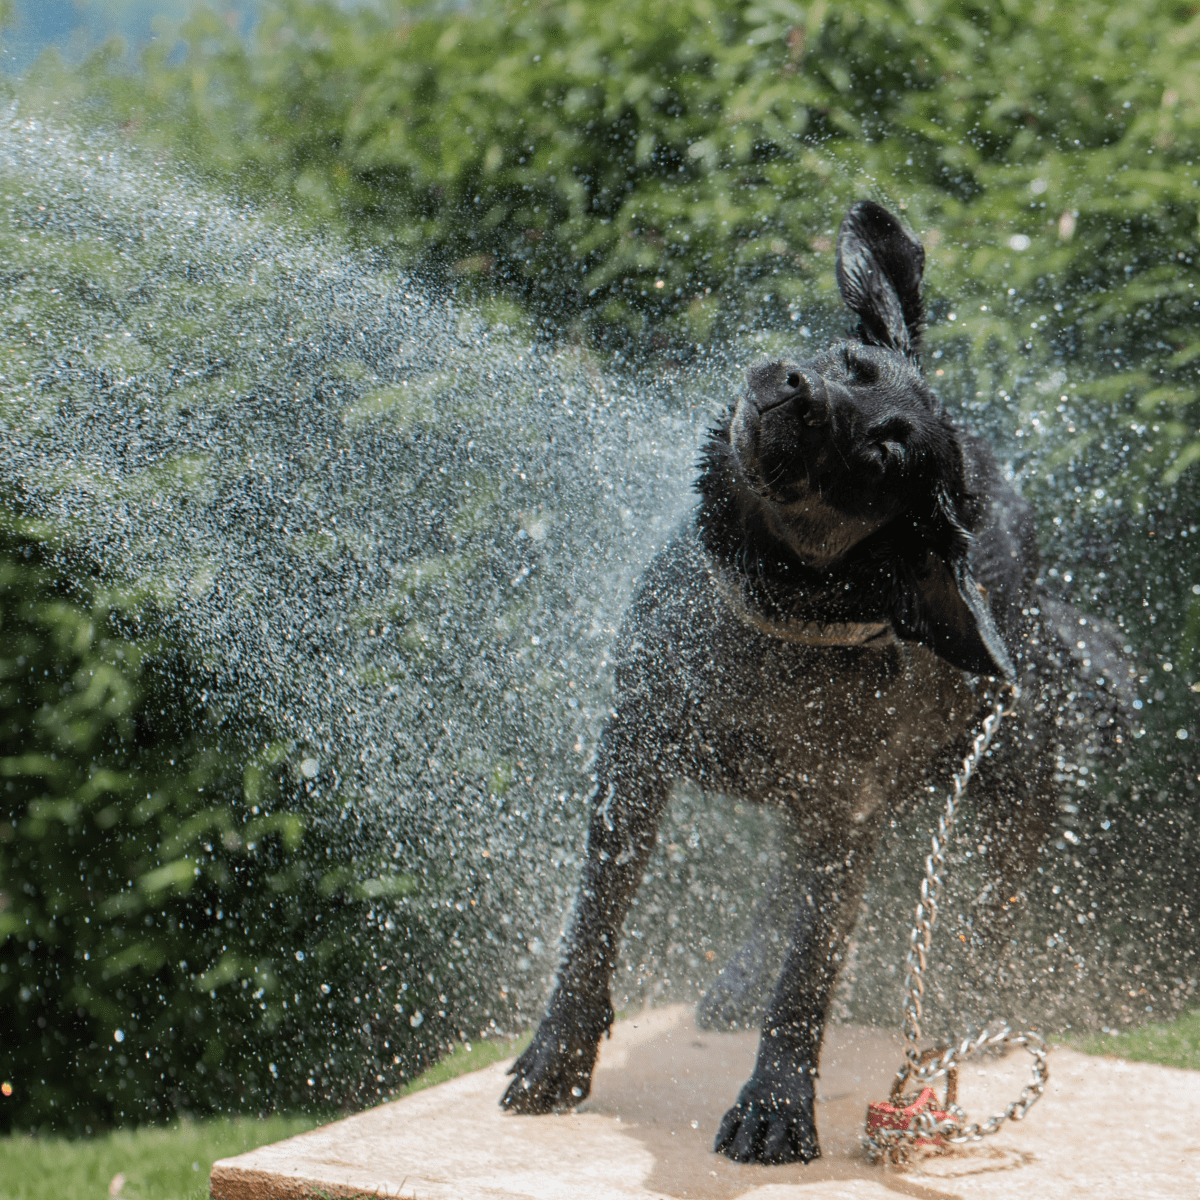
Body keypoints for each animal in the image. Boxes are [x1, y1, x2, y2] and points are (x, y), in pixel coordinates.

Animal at [496, 204, 1123, 1161]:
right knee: (777, 890)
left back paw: (965, 1011)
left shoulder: (844, 820)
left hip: (1012, 791)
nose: (791, 385)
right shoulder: (634, 758)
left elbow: (809, 978)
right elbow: (593, 928)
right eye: (849, 364)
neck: (771, 627)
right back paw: (736, 979)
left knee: (988, 921)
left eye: (881, 454)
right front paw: (557, 1057)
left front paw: (776, 1105)